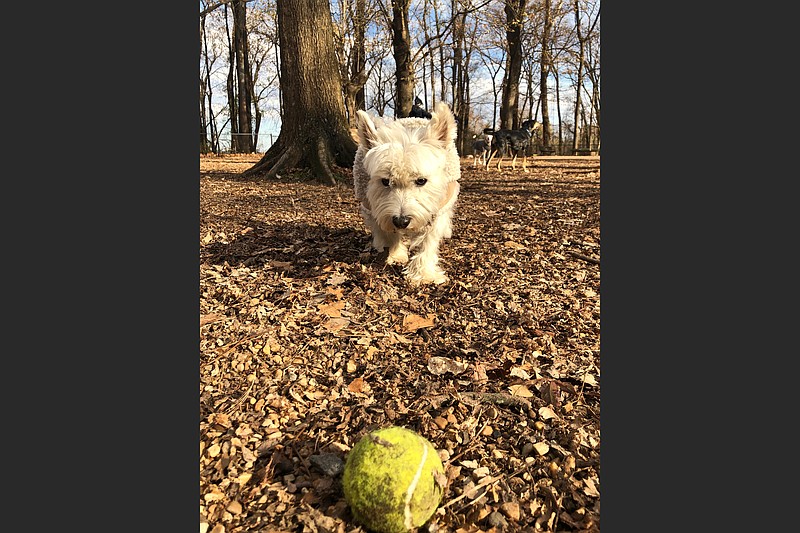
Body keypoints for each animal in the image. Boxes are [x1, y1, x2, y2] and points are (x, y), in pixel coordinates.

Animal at [354, 99, 460, 282]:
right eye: (385, 181)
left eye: (421, 180)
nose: (401, 221)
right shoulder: (373, 209)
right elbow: (388, 232)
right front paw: (396, 254)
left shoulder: (437, 210)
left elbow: (428, 241)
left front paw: (423, 274)